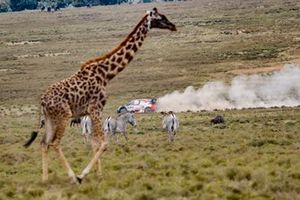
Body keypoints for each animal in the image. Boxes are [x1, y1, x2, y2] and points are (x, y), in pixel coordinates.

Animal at [24, 7, 177, 184]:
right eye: (161, 18)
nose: (173, 26)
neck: (106, 74)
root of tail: (42, 101)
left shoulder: (91, 112)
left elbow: (96, 143)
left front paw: (98, 174)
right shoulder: (95, 108)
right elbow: (103, 143)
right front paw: (84, 174)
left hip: (51, 118)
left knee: (44, 142)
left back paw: (45, 179)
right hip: (64, 115)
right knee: (54, 143)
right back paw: (73, 177)